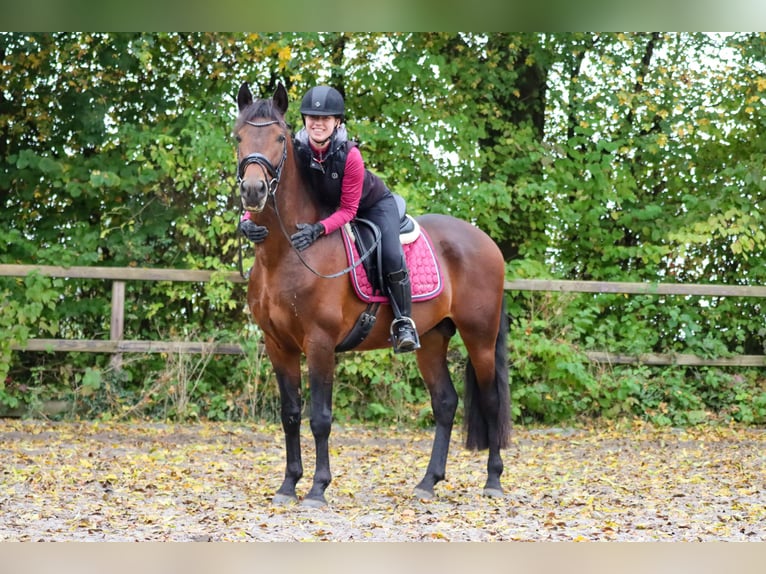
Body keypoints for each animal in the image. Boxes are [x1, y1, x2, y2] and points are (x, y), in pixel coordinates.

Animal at [234, 82, 510, 508]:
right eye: (238, 137)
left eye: (280, 137)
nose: (253, 190)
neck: (286, 254)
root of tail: (487, 242)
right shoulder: (278, 345)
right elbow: (291, 414)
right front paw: (288, 485)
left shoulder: (320, 343)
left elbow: (320, 418)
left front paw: (317, 488)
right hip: (432, 338)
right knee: (445, 403)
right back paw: (428, 482)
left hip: (479, 336)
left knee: (491, 398)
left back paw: (493, 480)